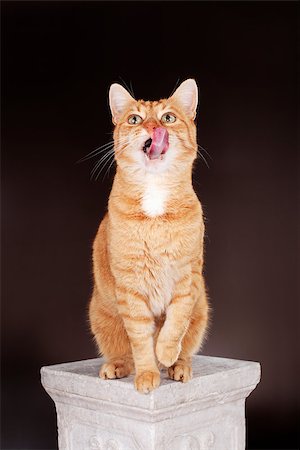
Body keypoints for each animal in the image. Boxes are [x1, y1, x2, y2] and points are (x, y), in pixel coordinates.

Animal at [89, 79, 209, 392]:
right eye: (135, 119)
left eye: (168, 117)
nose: (154, 127)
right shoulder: (130, 287)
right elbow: (141, 341)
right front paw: (147, 374)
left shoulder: (187, 277)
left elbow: (175, 323)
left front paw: (166, 353)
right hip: (102, 316)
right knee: (123, 353)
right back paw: (116, 367)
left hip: (201, 310)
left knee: (186, 347)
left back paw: (178, 367)